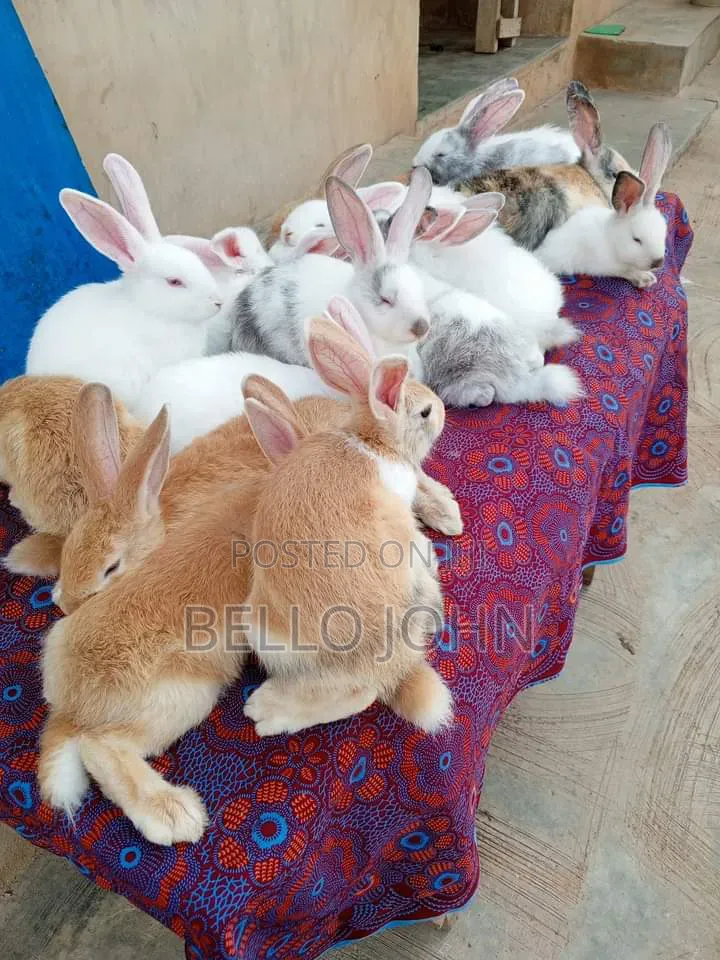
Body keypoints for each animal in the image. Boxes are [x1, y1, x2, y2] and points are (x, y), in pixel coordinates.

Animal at [242, 313, 453, 737]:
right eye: (424, 413)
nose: (441, 408)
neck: (370, 441)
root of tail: (389, 664)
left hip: (261, 628)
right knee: (361, 693)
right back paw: (266, 712)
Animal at [534, 124, 673, 288]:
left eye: (663, 233)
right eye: (636, 239)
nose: (658, 262)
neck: (611, 240)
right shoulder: (605, 266)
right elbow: (627, 271)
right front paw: (645, 278)